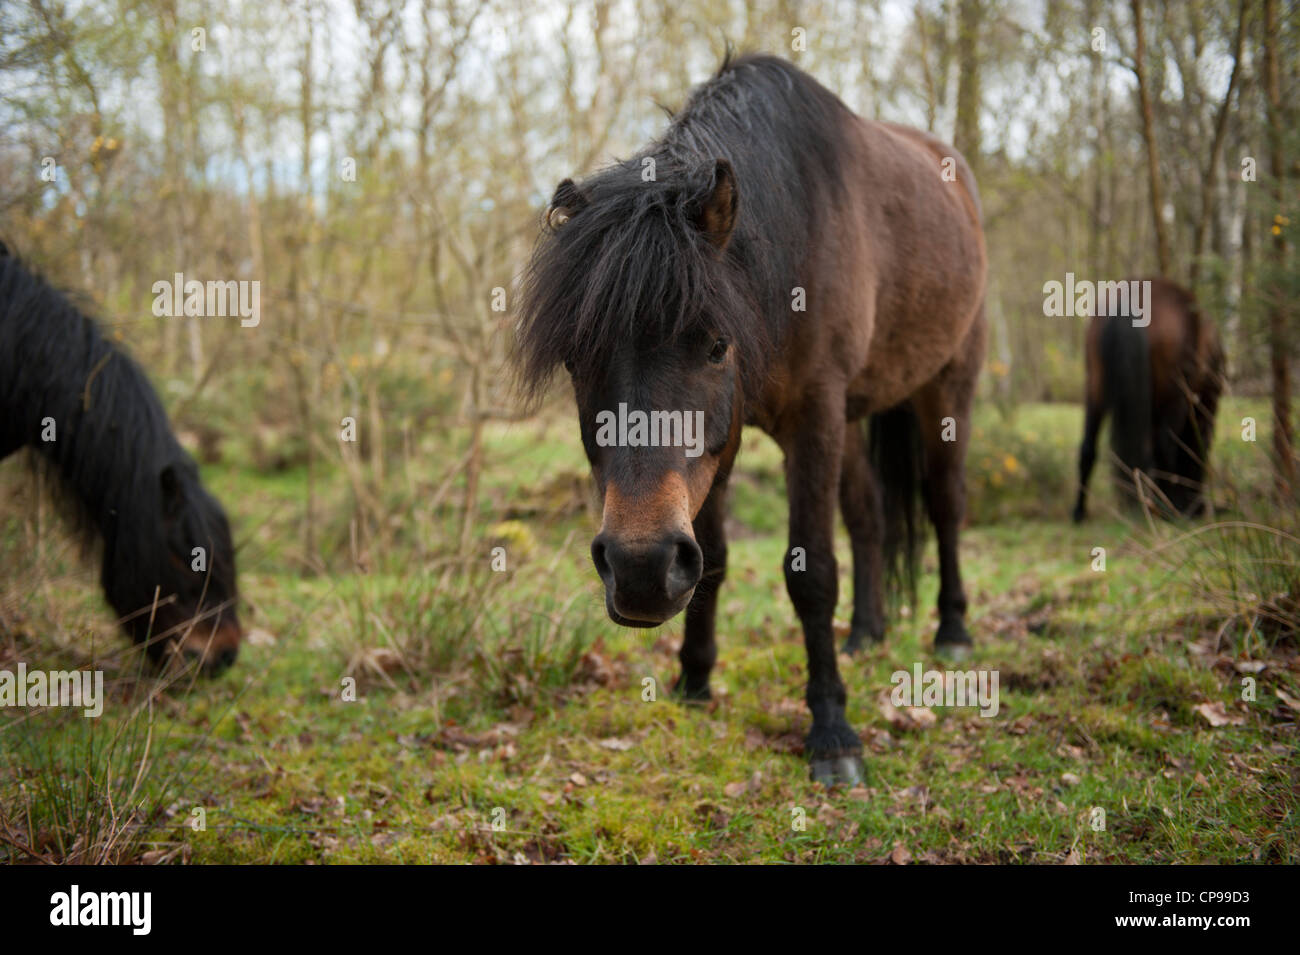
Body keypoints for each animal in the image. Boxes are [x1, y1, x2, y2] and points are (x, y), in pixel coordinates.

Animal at [516, 54, 987, 785]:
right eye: (575, 357)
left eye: (716, 345)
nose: (639, 569)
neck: (790, 243)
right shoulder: (731, 440)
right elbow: (713, 557)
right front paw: (694, 680)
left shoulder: (813, 417)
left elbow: (811, 573)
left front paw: (832, 732)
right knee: (869, 516)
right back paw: (867, 632)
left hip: (946, 388)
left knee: (944, 505)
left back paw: (953, 632)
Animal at [1072, 278, 1224, 523]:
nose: (1198, 508)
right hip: (1174, 395)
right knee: (1165, 446)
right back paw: (1170, 508)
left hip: (1095, 386)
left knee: (1088, 446)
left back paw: (1079, 511)